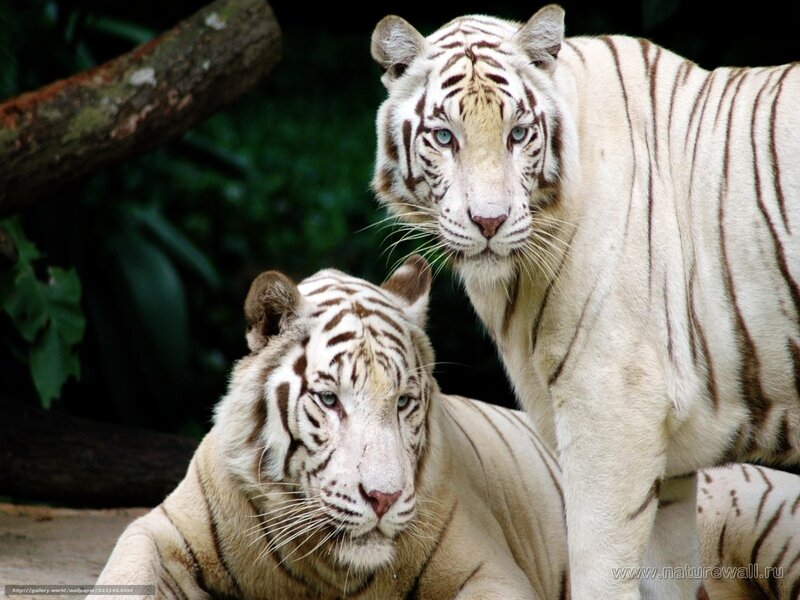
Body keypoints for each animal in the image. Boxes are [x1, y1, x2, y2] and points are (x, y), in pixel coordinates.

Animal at [94, 257, 800, 599]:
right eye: (329, 398)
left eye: (405, 401)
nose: (382, 498)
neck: (321, 574)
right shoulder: (158, 529)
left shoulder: (489, 571)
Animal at [370, 5, 799, 599]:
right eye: (443, 136)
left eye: (518, 133)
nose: (489, 222)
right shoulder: (669, 468)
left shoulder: (612, 413)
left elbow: (599, 570)